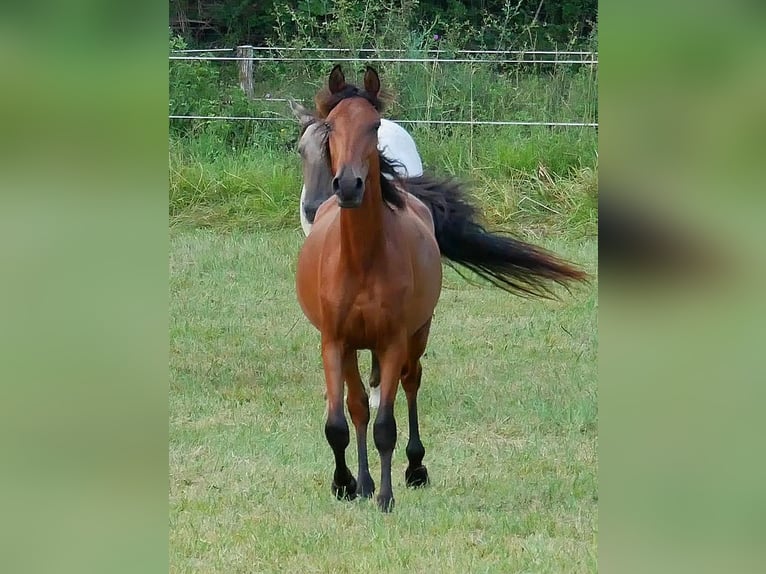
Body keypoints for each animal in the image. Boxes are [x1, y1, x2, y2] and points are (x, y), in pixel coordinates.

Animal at [296, 66, 584, 512]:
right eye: (330, 127)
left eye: (374, 125)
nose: (348, 186)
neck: (361, 259)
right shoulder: (334, 341)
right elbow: (340, 423)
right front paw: (347, 485)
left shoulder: (393, 341)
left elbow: (385, 426)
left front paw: (386, 496)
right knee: (358, 406)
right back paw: (364, 481)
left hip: (418, 333)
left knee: (411, 383)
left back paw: (415, 468)